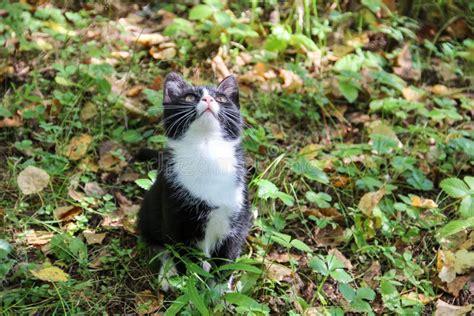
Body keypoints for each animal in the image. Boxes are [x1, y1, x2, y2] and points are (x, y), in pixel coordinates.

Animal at [138, 73, 252, 286]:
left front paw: (219, 291)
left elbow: (226, 260)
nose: (207, 99)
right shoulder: (176, 218)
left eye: (221, 98)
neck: (206, 152)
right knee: (161, 246)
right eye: (190, 97)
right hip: (148, 213)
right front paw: (190, 287)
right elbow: (185, 262)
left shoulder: (237, 219)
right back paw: (168, 273)